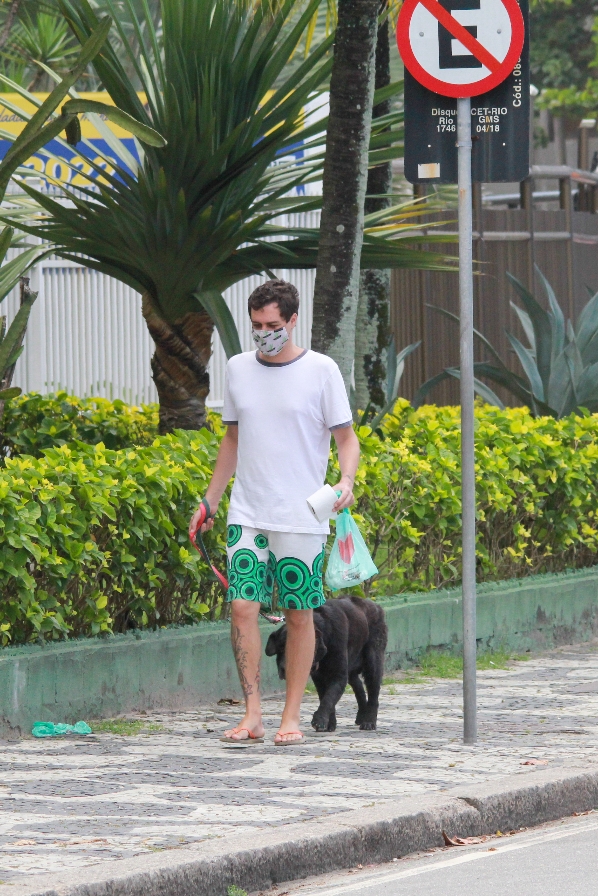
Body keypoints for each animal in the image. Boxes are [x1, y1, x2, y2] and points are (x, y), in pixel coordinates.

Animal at [266, 596, 390, 736]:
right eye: (280, 648)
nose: (284, 670)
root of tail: (376, 607)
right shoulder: (319, 678)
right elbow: (325, 697)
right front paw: (330, 723)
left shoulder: (339, 676)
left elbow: (329, 698)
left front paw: (320, 720)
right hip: (351, 671)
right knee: (359, 687)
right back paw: (361, 715)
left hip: (373, 662)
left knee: (373, 693)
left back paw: (369, 721)